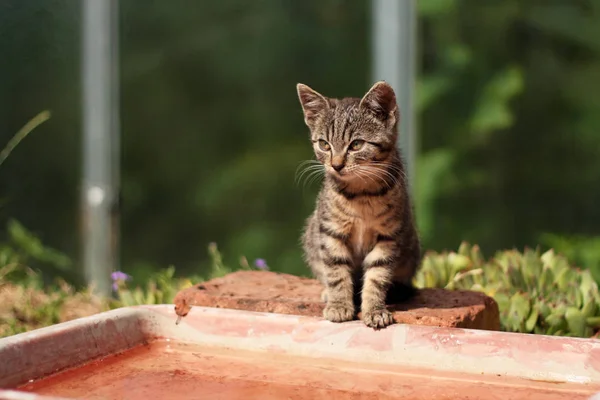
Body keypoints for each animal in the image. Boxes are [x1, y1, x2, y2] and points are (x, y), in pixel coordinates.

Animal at [296, 80, 420, 328]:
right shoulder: (330, 231)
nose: (336, 165)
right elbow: (336, 272)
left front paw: (375, 309)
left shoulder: (389, 235)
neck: (362, 194)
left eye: (356, 145)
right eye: (324, 144)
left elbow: (377, 275)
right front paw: (339, 306)